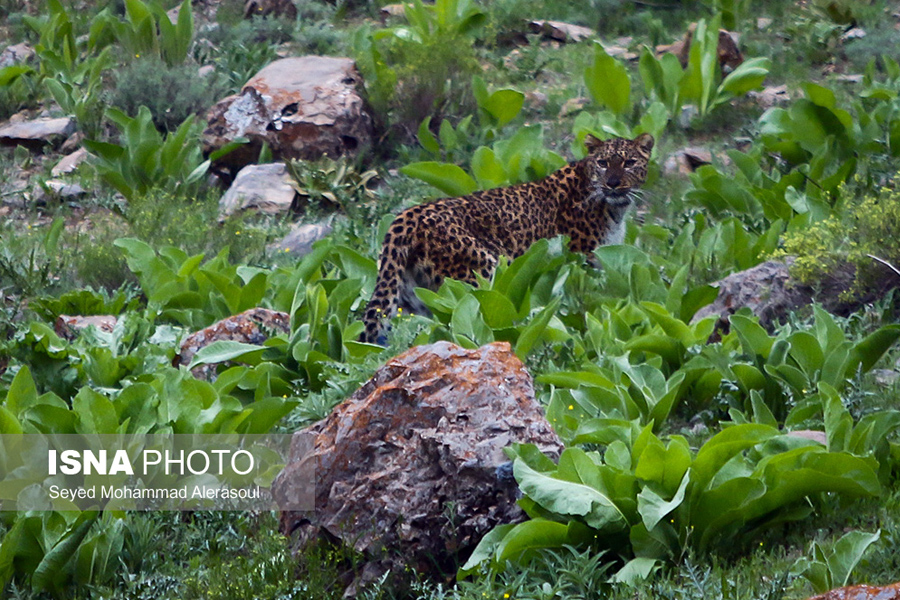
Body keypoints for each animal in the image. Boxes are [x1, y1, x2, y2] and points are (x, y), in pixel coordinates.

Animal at [360, 133, 652, 344]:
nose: (613, 183)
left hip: (411, 299)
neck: (614, 209)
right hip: (475, 275)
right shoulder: (584, 261)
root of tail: (405, 217)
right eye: (603, 163)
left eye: (629, 163)